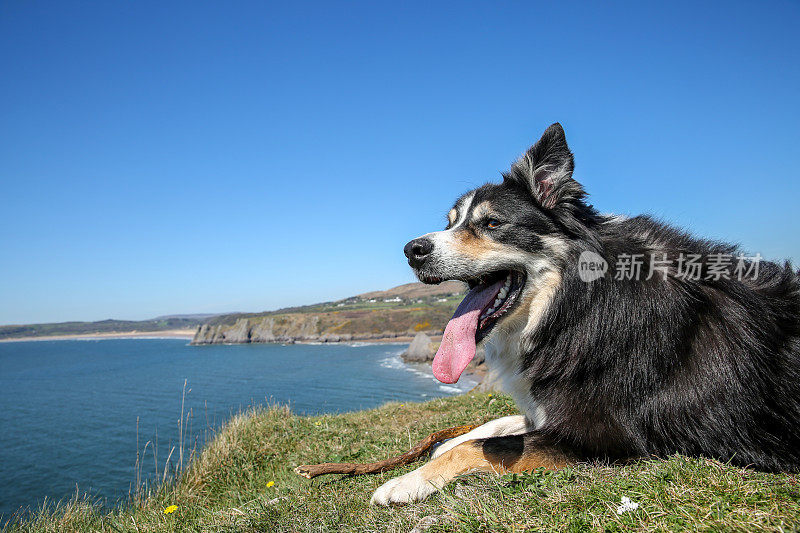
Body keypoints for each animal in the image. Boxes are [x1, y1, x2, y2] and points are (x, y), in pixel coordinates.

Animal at [374, 122, 800, 504]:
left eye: (492, 223)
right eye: (451, 222)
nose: (412, 250)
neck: (579, 304)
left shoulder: (605, 437)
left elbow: (487, 446)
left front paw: (407, 481)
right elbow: (496, 425)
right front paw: (446, 442)